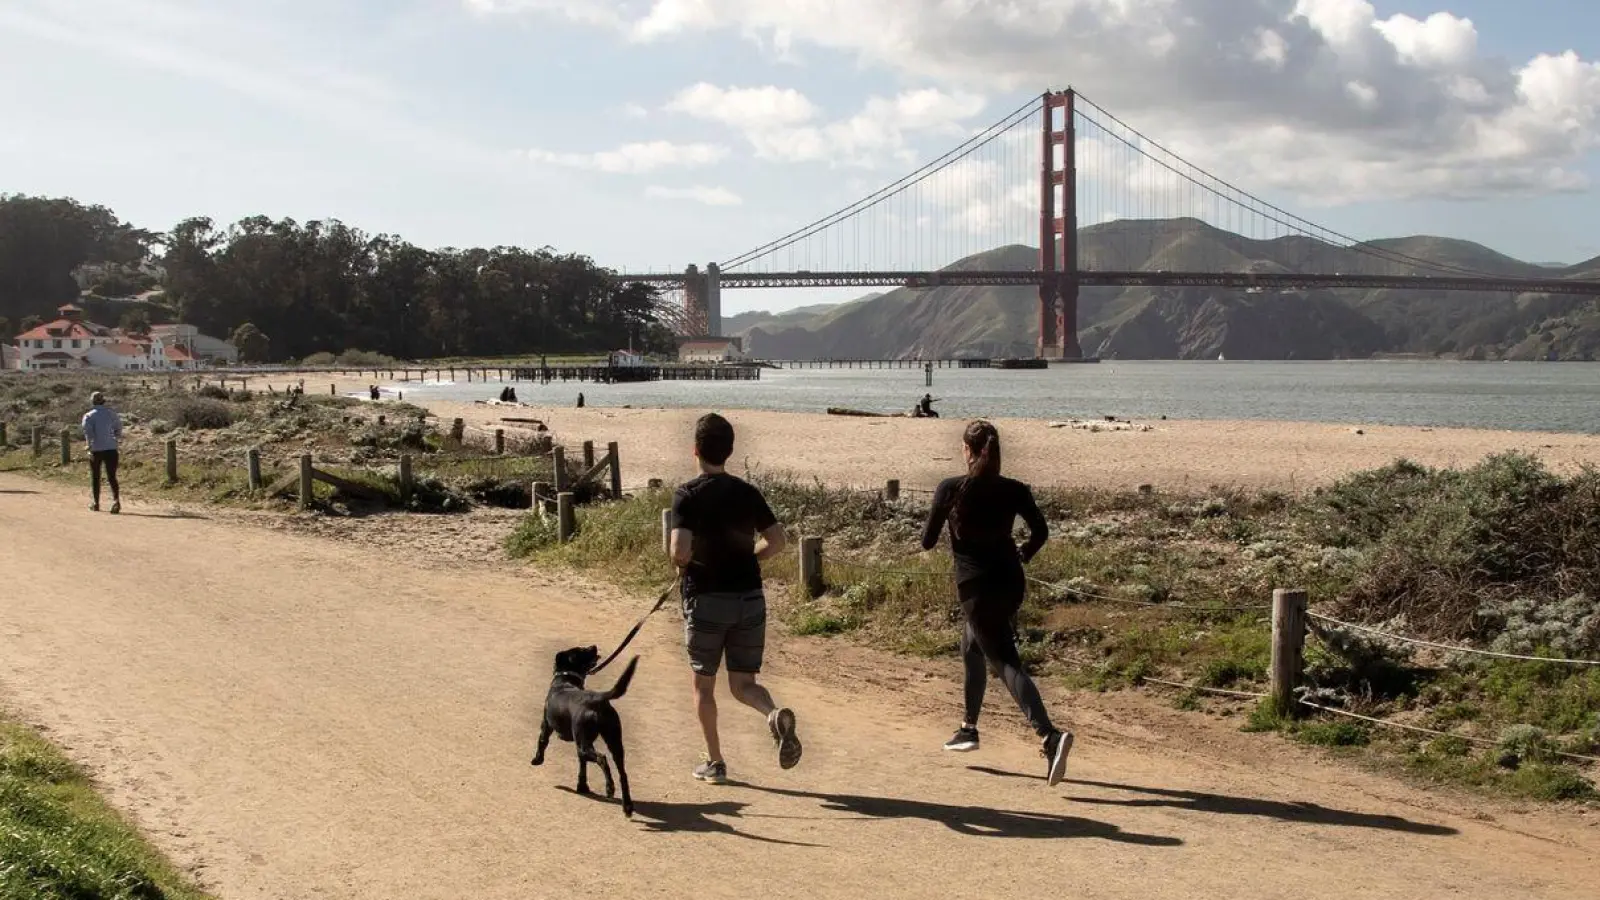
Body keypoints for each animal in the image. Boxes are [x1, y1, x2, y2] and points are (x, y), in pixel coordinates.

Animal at [534, 640, 640, 816]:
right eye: (581, 650)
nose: (593, 646)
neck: (565, 680)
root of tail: (598, 698)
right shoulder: (579, 746)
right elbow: (582, 766)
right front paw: (582, 786)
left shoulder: (546, 724)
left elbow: (542, 741)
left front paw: (537, 760)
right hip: (613, 742)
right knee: (622, 773)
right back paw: (627, 807)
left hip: (586, 743)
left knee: (602, 759)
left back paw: (610, 789)